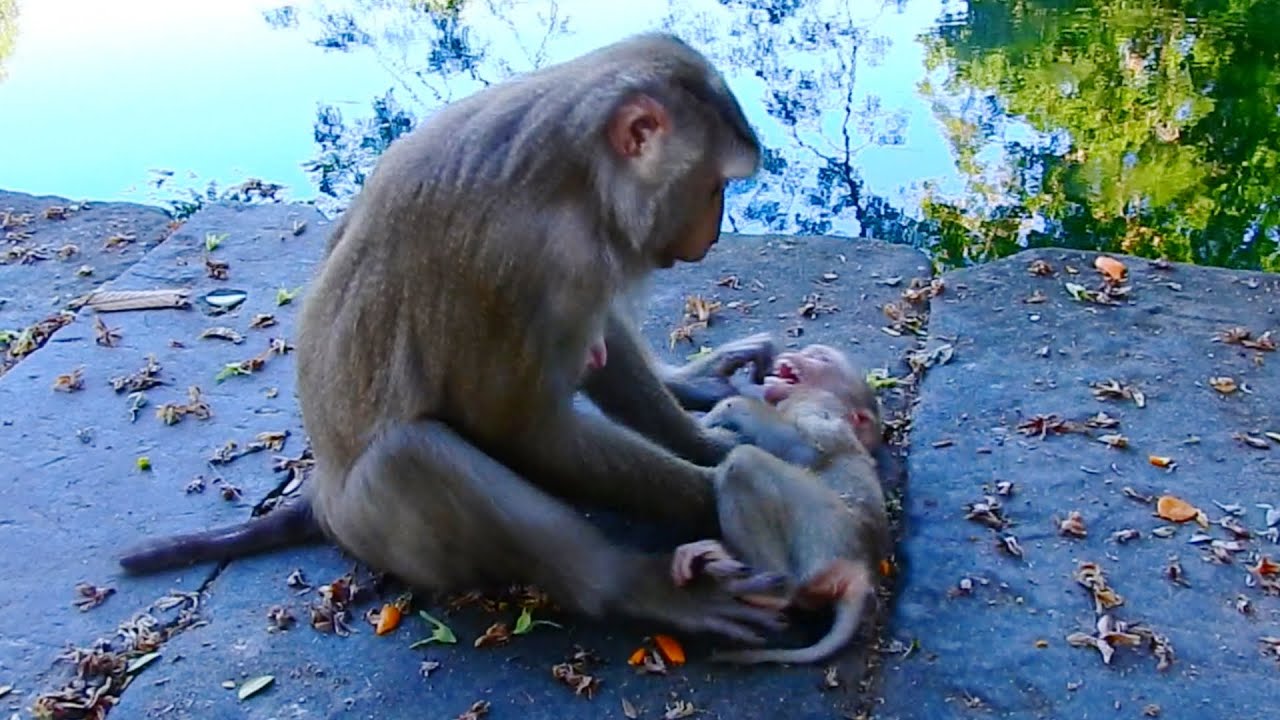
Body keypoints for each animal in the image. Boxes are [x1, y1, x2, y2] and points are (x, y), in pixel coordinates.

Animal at [119, 33, 791, 644]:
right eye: (713, 186)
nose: (712, 232)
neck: (580, 177)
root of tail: (323, 498)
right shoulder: (526, 257)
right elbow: (522, 431)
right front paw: (727, 485)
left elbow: (602, 349)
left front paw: (705, 439)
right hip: (381, 530)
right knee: (411, 456)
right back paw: (627, 586)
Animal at [669, 344, 891, 664]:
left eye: (821, 358)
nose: (797, 353)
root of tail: (861, 565)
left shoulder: (820, 404)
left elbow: (806, 448)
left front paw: (724, 408)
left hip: (822, 529)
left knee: (744, 463)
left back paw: (772, 590)